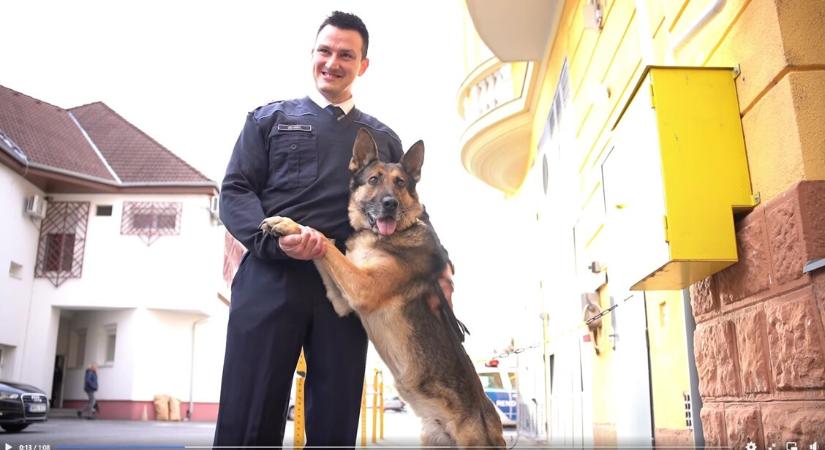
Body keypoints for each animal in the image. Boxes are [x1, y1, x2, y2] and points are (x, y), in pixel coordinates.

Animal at [260, 128, 506, 448]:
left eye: (400, 183)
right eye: (374, 179)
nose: (390, 204)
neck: (393, 232)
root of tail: (494, 426)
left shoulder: (362, 288)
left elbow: (325, 240)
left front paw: (290, 225)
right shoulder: (342, 299)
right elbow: (326, 242)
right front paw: (294, 231)